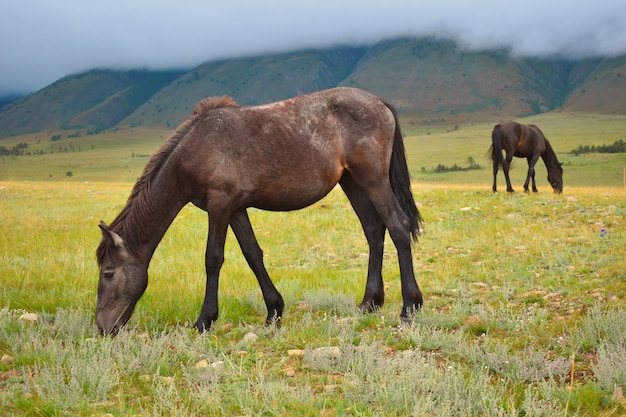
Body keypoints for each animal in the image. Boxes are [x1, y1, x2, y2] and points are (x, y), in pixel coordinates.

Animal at [95, 86, 422, 334]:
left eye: (108, 273)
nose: (102, 328)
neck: (195, 148)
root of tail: (379, 103)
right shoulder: (236, 209)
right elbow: (253, 255)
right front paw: (274, 311)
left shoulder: (219, 205)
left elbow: (213, 259)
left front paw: (204, 320)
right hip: (352, 181)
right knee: (374, 230)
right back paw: (369, 302)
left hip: (373, 179)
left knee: (398, 227)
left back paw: (410, 307)